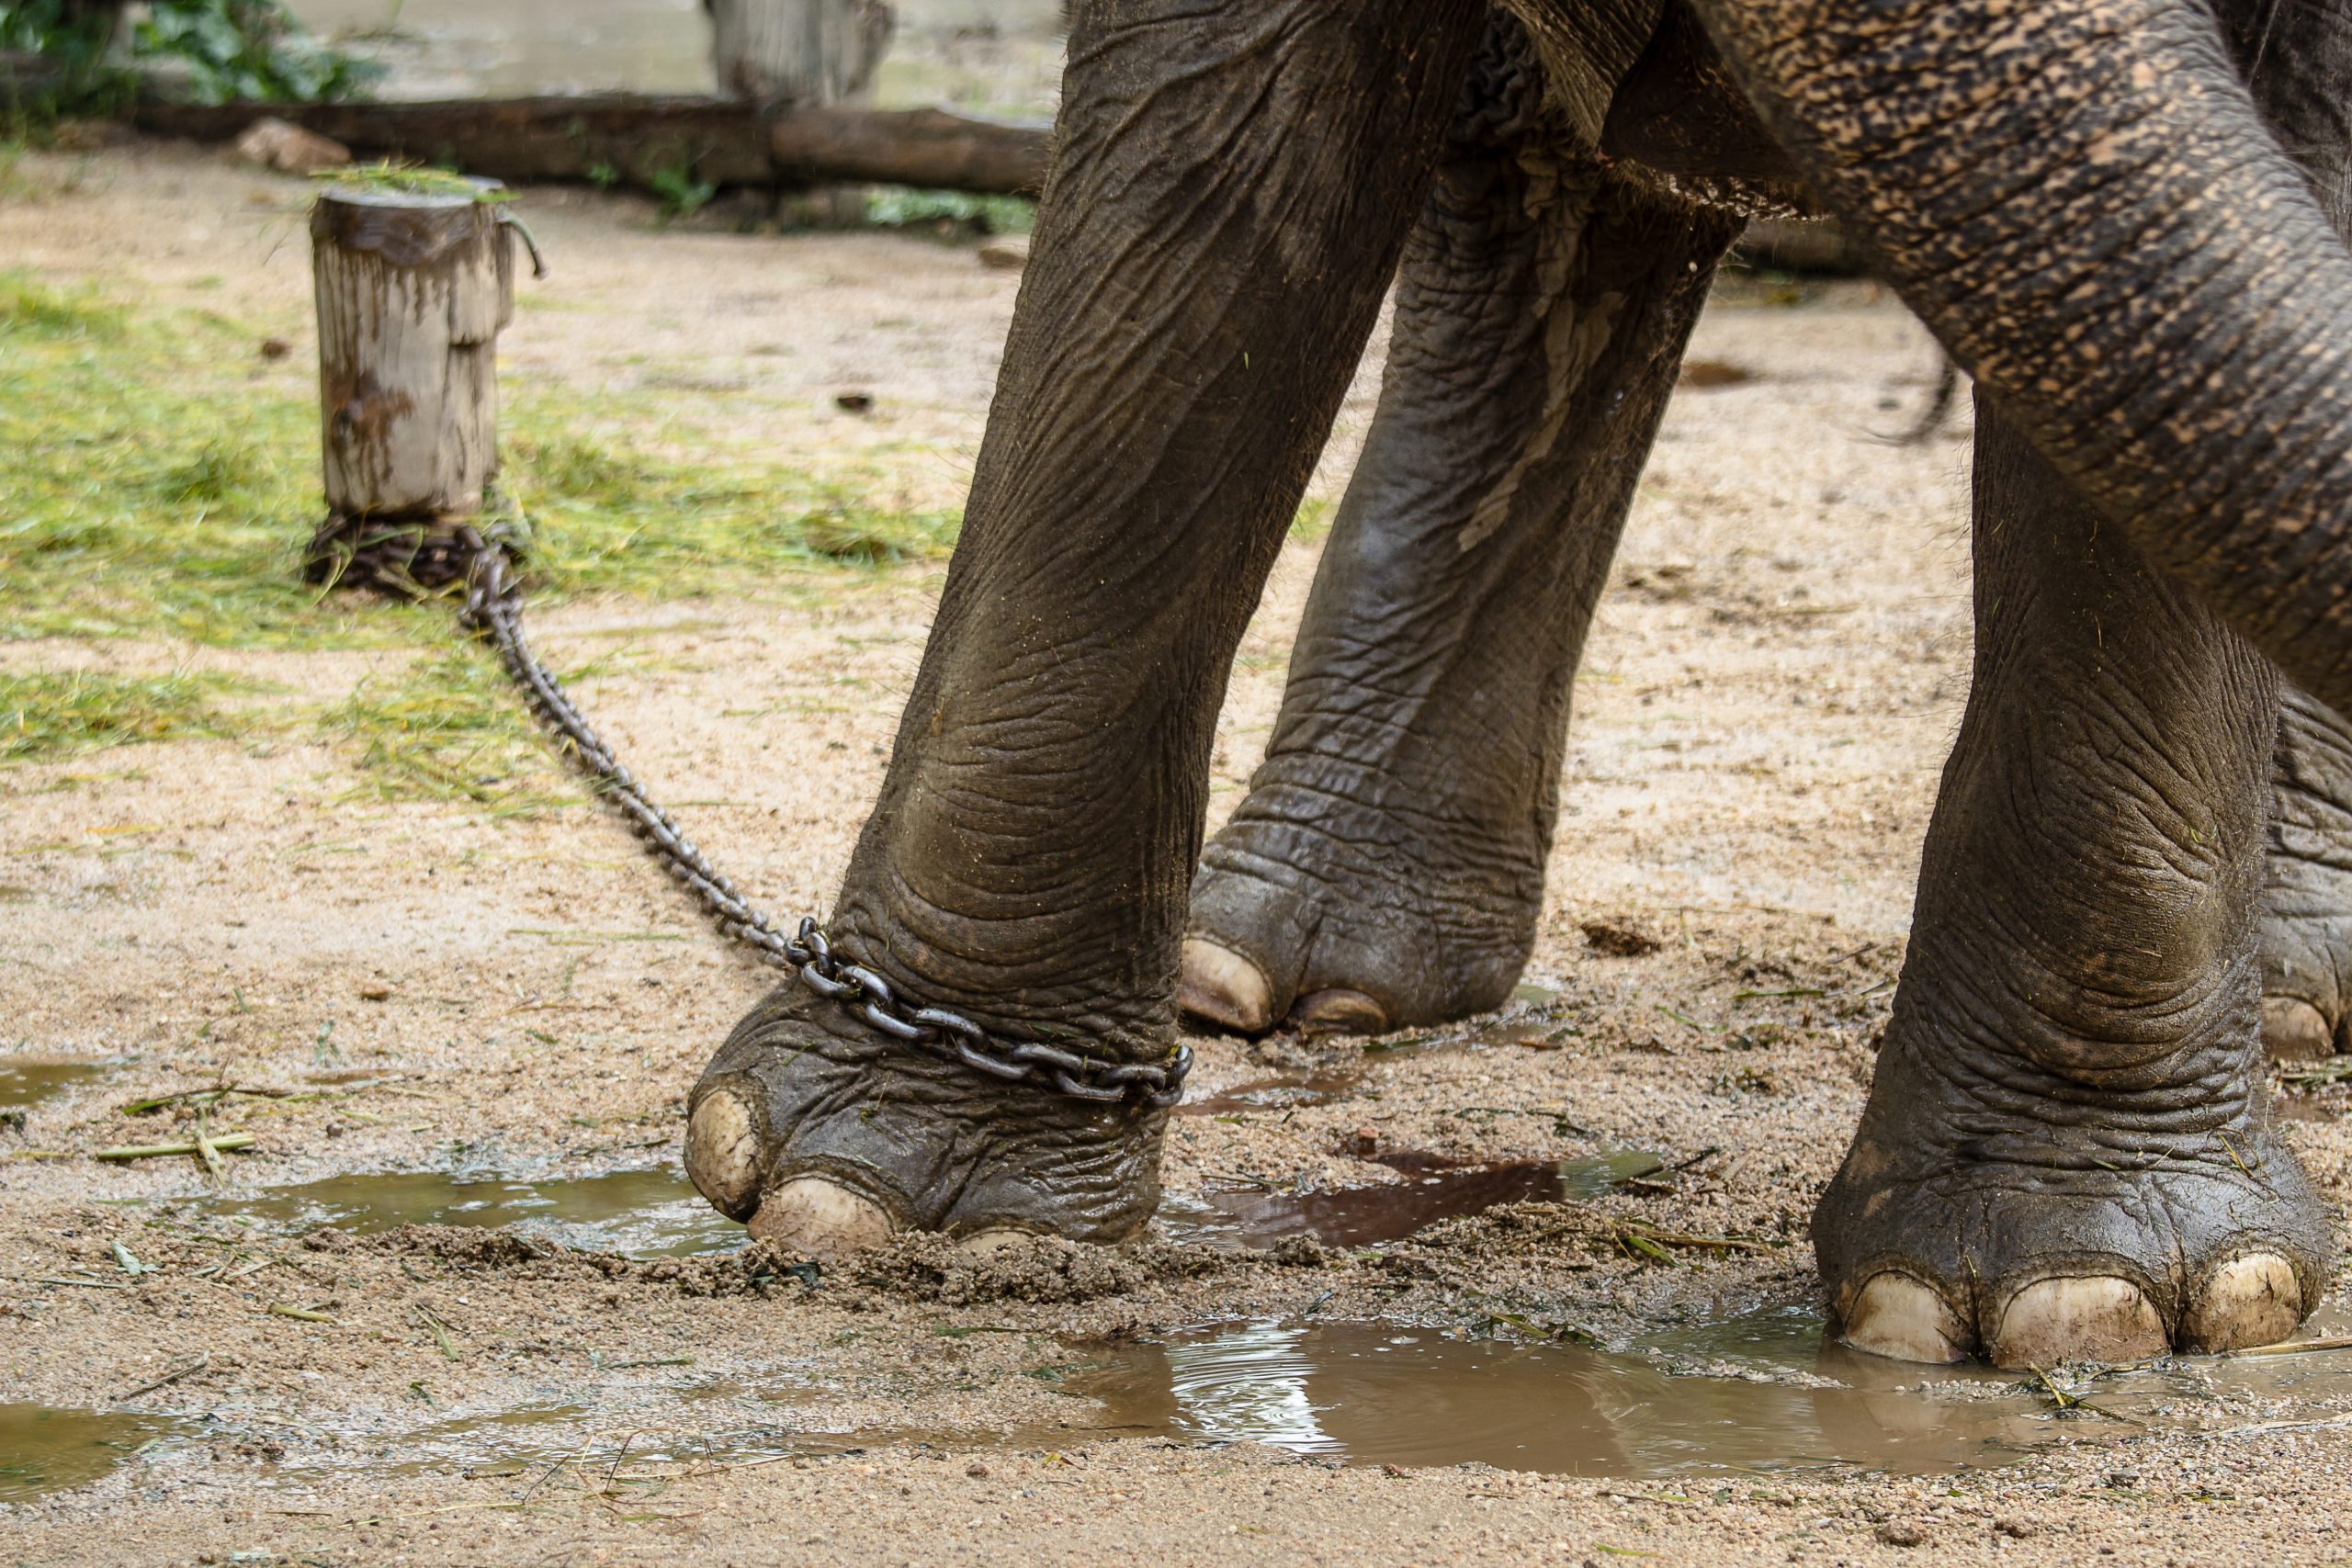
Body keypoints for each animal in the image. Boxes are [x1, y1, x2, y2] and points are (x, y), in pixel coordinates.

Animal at [684, 0, 2352, 1368]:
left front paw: (2093, 1298)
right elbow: (1213, 169)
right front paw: (880, 1201)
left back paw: (2288, 998)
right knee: (1541, 181)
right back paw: (1274, 978)